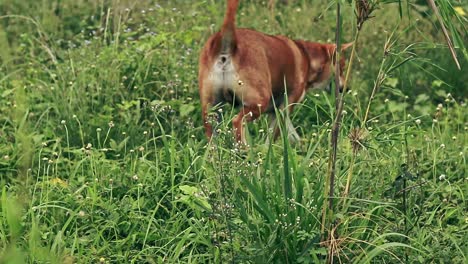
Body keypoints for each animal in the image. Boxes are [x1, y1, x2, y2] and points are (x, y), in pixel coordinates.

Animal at [198, 0, 352, 143]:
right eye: (342, 68)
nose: (347, 88)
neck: (307, 57)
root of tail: (228, 44)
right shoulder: (284, 108)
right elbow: (272, 138)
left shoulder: (275, 111)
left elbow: (292, 136)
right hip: (259, 102)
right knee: (237, 121)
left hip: (211, 110)